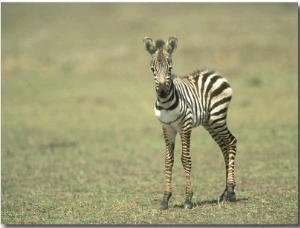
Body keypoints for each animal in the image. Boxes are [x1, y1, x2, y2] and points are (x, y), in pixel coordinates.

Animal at [143, 36, 237, 209]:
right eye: (153, 70)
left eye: (170, 69)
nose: (162, 92)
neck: (166, 103)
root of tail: (216, 74)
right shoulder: (167, 128)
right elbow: (168, 161)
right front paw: (165, 199)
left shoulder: (185, 126)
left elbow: (185, 159)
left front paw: (188, 199)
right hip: (209, 123)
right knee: (224, 146)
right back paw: (225, 193)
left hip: (218, 117)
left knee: (231, 141)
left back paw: (231, 191)